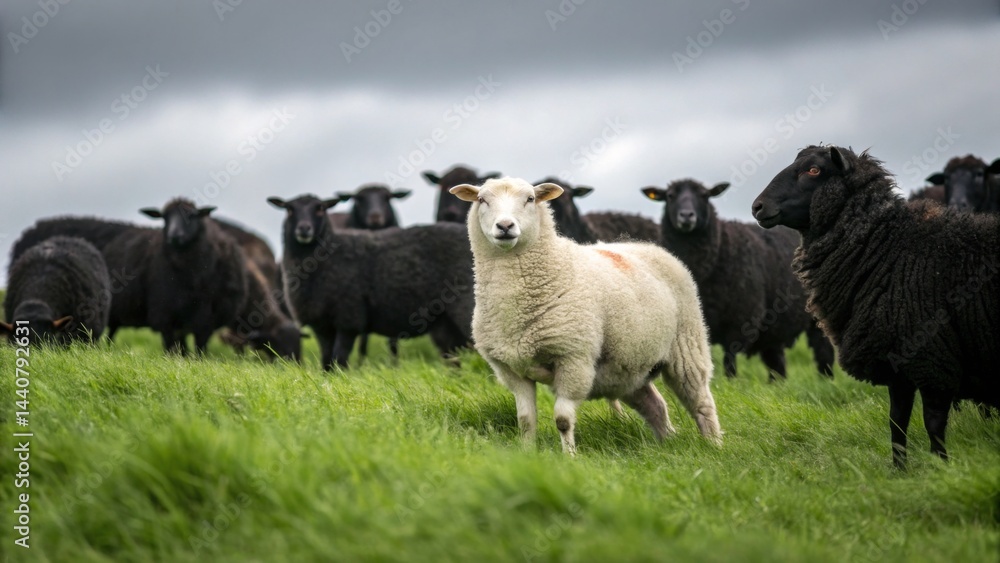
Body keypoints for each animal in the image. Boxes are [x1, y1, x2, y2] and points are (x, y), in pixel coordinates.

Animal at [102, 198, 248, 354]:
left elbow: (199, 347)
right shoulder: (164, 313)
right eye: (164, 218)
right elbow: (173, 346)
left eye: (191, 215)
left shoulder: (207, 317)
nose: (174, 236)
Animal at [267, 194, 475, 370]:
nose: (304, 229)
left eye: (320, 208)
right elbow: (326, 361)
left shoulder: (349, 318)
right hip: (445, 323)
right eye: (289, 209)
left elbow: (339, 359)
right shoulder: (321, 324)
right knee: (455, 358)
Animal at [449, 177, 722, 454]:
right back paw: (667, 444)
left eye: (530, 199)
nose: (505, 226)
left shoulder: (574, 358)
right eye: (482, 200)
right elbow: (525, 420)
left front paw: (570, 456)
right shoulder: (513, 370)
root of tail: (646, 246)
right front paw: (527, 453)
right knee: (655, 406)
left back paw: (714, 445)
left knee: (702, 402)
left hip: (686, 346)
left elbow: (562, 419)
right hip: (628, 369)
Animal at [642, 179, 834, 380]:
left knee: (823, 351)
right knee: (776, 361)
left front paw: (730, 381)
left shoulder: (740, 319)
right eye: (670, 196)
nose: (686, 216)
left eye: (704, 195)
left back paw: (826, 380)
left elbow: (730, 357)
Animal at [751, 145, 1000, 467]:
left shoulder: (933, 359)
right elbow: (897, 421)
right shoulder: (898, 358)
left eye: (814, 170)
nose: (757, 207)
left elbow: (933, 424)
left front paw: (941, 466)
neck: (888, 248)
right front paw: (899, 470)